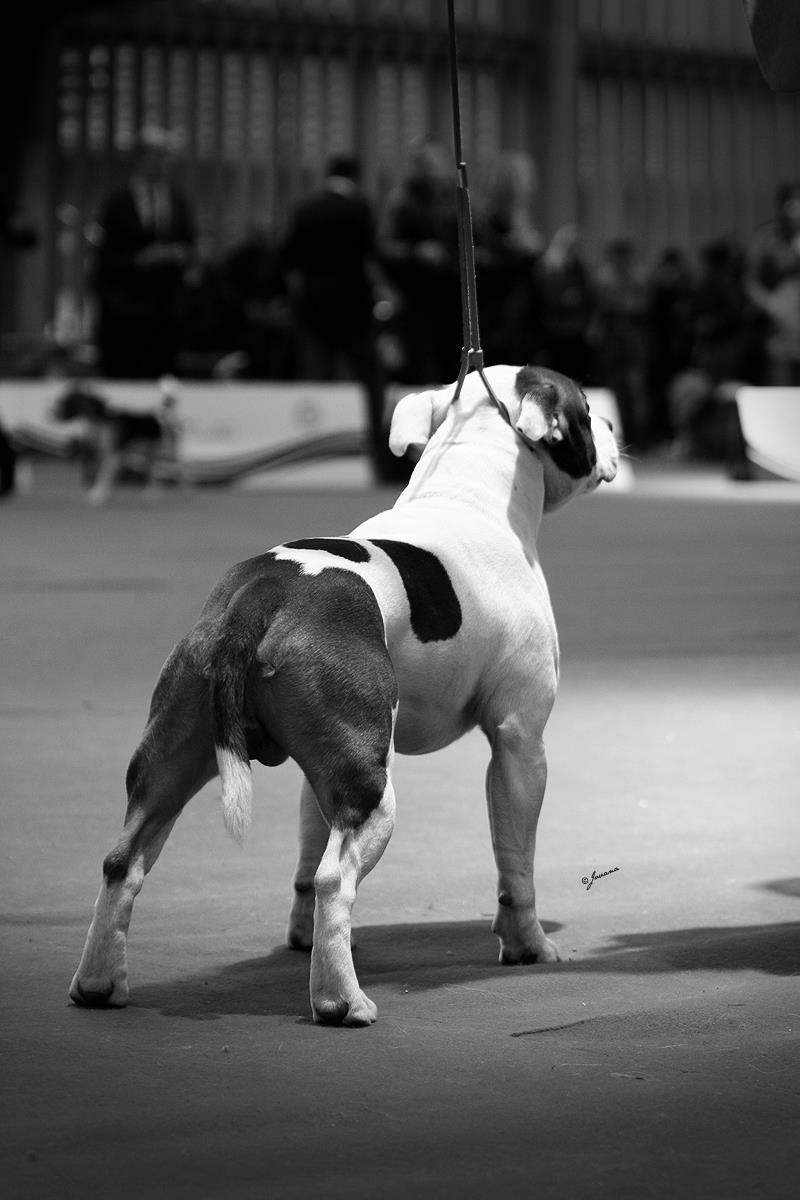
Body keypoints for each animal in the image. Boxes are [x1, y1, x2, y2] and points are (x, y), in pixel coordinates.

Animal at [51, 380, 180, 504]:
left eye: (65, 401)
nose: (51, 413)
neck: (100, 421)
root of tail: (154, 415)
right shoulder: (100, 453)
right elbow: (98, 471)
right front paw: (98, 491)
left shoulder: (112, 454)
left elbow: (104, 473)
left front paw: (99, 494)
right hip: (144, 453)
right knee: (148, 471)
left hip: (156, 451)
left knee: (156, 471)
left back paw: (153, 491)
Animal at [69, 363, 618, 1025]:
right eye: (585, 410)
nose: (610, 421)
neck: (470, 491)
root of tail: (262, 595)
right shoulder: (519, 743)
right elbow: (518, 863)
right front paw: (529, 946)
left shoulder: (320, 771)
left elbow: (306, 858)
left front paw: (305, 937)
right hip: (371, 791)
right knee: (337, 877)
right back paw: (341, 1001)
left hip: (179, 757)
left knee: (123, 862)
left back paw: (100, 984)